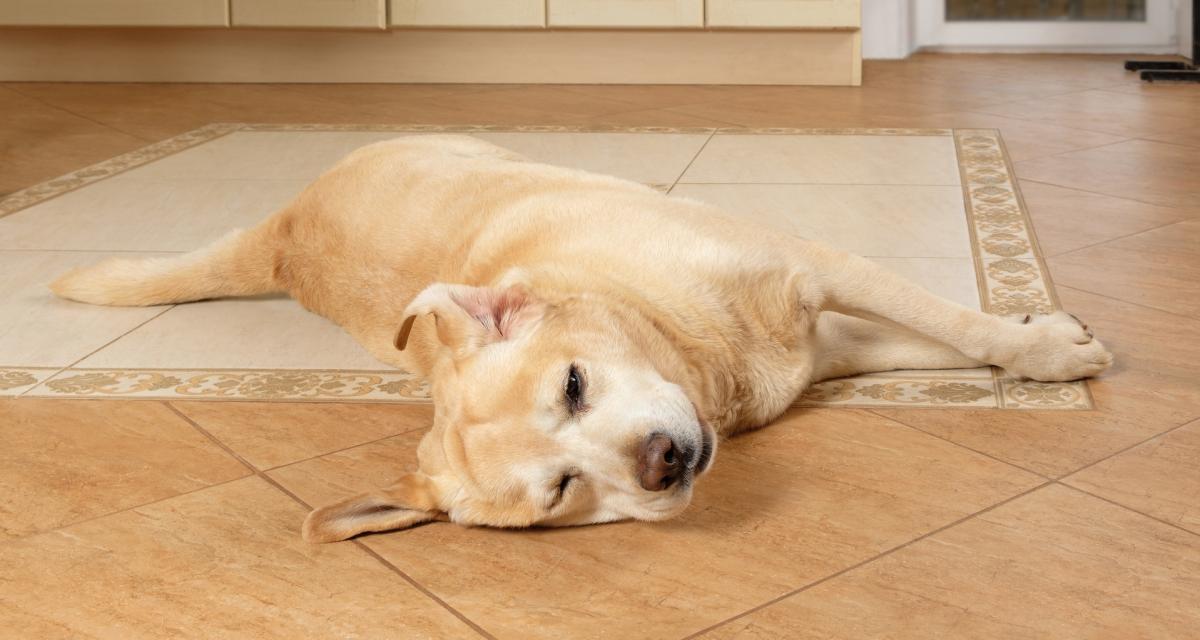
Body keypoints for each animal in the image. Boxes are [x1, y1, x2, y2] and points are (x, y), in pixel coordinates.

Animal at [51, 133, 1108, 537]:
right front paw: (1035, 334)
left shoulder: (809, 268)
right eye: (563, 490)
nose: (660, 463)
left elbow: (950, 321)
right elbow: (941, 342)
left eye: (572, 384)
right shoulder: (820, 345)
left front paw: (1048, 342)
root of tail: (283, 232)